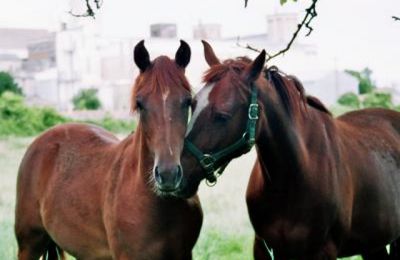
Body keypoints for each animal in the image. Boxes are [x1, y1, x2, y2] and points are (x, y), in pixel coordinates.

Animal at [180, 39, 400, 258]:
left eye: (222, 115)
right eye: (193, 104)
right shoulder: (262, 247)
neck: (293, 177)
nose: (176, 174)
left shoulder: (324, 251)